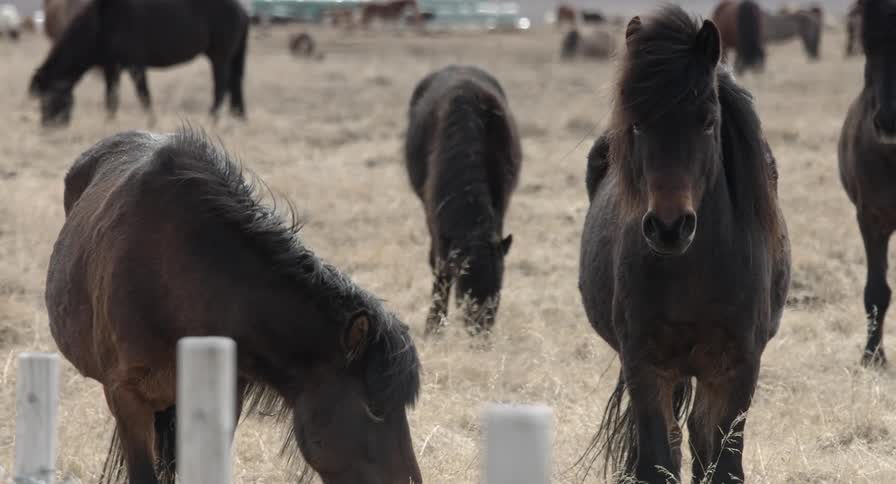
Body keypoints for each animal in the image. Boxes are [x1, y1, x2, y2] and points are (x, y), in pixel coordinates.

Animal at [29, 0, 249, 126]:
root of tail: (242, 10)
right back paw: (237, 116)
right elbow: (111, 97)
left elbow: (143, 94)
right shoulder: (111, 67)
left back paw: (213, 118)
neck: (101, 23)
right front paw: (109, 122)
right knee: (235, 83)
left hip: (219, 57)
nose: (47, 127)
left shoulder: (135, 65)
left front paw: (151, 122)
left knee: (221, 86)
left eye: (46, 100)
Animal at [578, 6, 790, 483]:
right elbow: (658, 459)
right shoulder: (645, 366)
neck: (694, 271)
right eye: (638, 123)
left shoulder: (736, 370)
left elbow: (723, 463)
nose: (669, 227)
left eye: (707, 121)